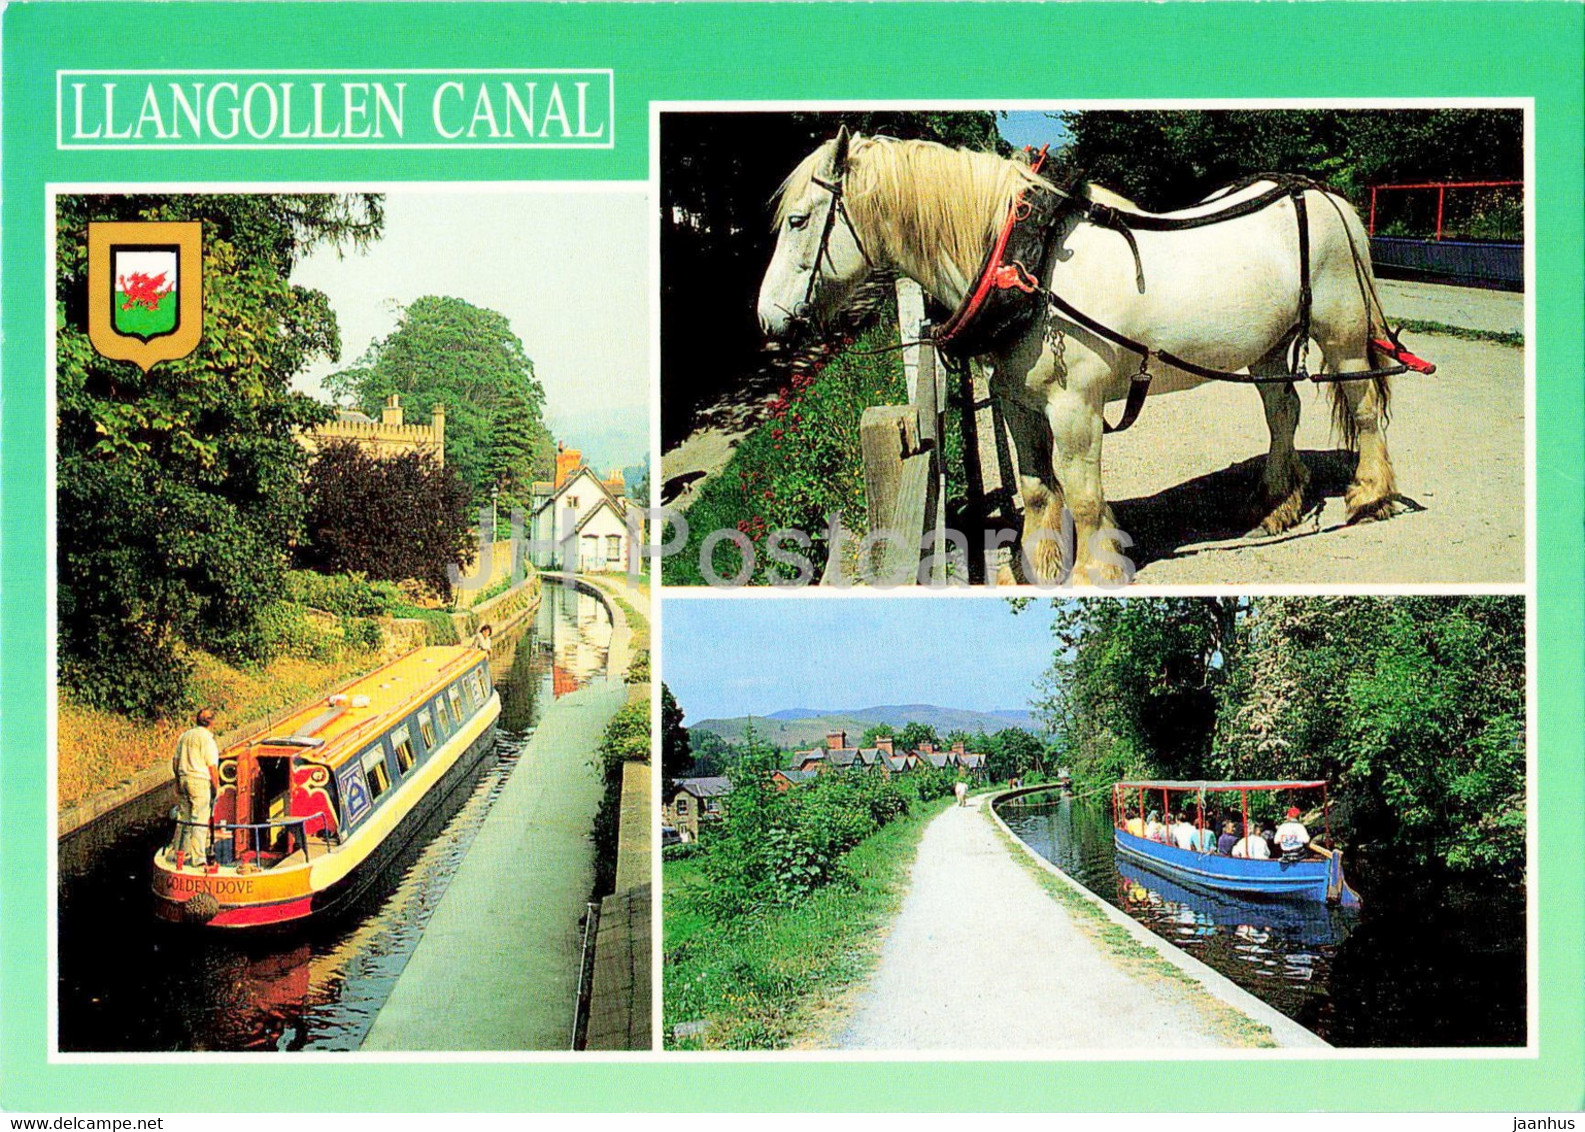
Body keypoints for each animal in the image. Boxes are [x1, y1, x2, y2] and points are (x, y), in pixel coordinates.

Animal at [757, 127, 1401, 577]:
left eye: (799, 220)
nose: (768, 317)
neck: (1028, 263)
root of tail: (1330, 198)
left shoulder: (1075, 410)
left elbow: (1084, 494)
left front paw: (1097, 569)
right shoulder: (1016, 403)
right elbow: (1038, 487)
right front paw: (1039, 564)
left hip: (1342, 336)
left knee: (1365, 407)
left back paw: (1369, 494)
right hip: (1266, 346)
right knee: (1282, 413)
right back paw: (1276, 503)